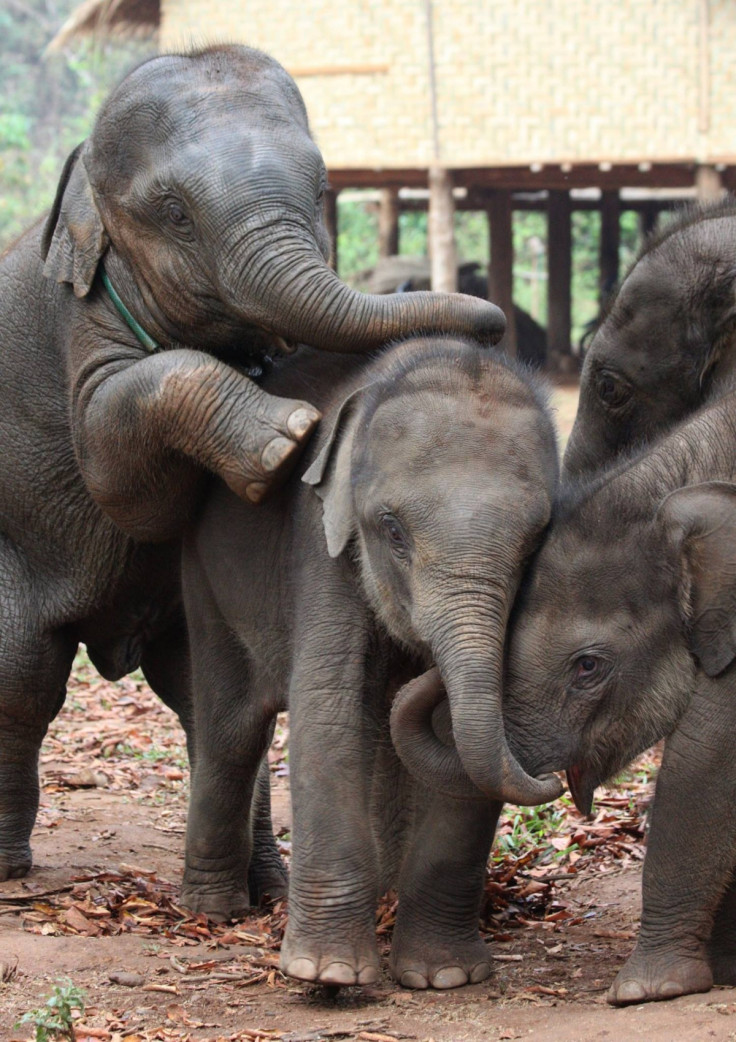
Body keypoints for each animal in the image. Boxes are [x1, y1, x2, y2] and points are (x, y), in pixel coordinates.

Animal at [0, 42, 502, 887]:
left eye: (324, 188)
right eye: (173, 211)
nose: (494, 324)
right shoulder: (79, 322)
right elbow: (115, 468)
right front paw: (287, 440)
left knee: (201, 697)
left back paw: (266, 880)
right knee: (25, 675)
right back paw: (10, 871)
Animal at [180, 335, 558, 991]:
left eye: (535, 542)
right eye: (392, 531)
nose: (556, 780)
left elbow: (455, 748)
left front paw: (442, 977)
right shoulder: (320, 544)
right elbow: (329, 712)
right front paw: (328, 975)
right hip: (203, 580)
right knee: (233, 730)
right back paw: (215, 910)